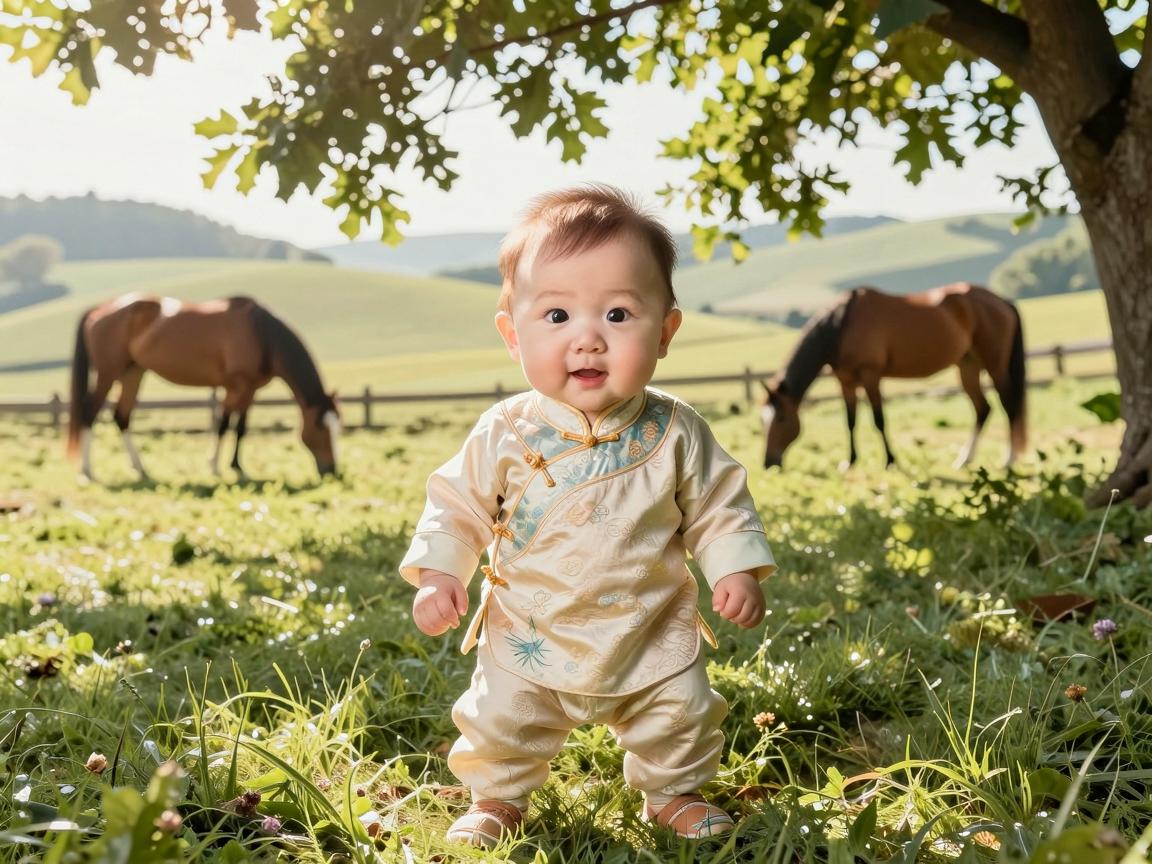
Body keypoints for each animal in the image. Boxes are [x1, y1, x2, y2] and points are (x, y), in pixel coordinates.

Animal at [67, 294, 341, 482]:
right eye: (320, 427)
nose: (333, 470)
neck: (262, 335)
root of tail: (99, 309)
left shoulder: (251, 390)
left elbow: (241, 428)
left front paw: (237, 466)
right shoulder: (234, 386)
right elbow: (223, 425)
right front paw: (215, 466)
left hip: (132, 372)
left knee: (121, 416)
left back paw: (141, 468)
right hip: (108, 373)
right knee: (89, 412)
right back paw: (87, 470)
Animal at [761, 283, 1026, 470]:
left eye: (781, 419)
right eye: (762, 420)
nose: (768, 462)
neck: (841, 326)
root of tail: (1002, 301)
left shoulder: (871, 375)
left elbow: (879, 420)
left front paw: (890, 461)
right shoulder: (845, 381)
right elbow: (850, 421)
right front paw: (850, 461)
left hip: (995, 365)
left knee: (1009, 405)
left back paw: (1009, 460)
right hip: (968, 366)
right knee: (983, 409)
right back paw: (964, 459)